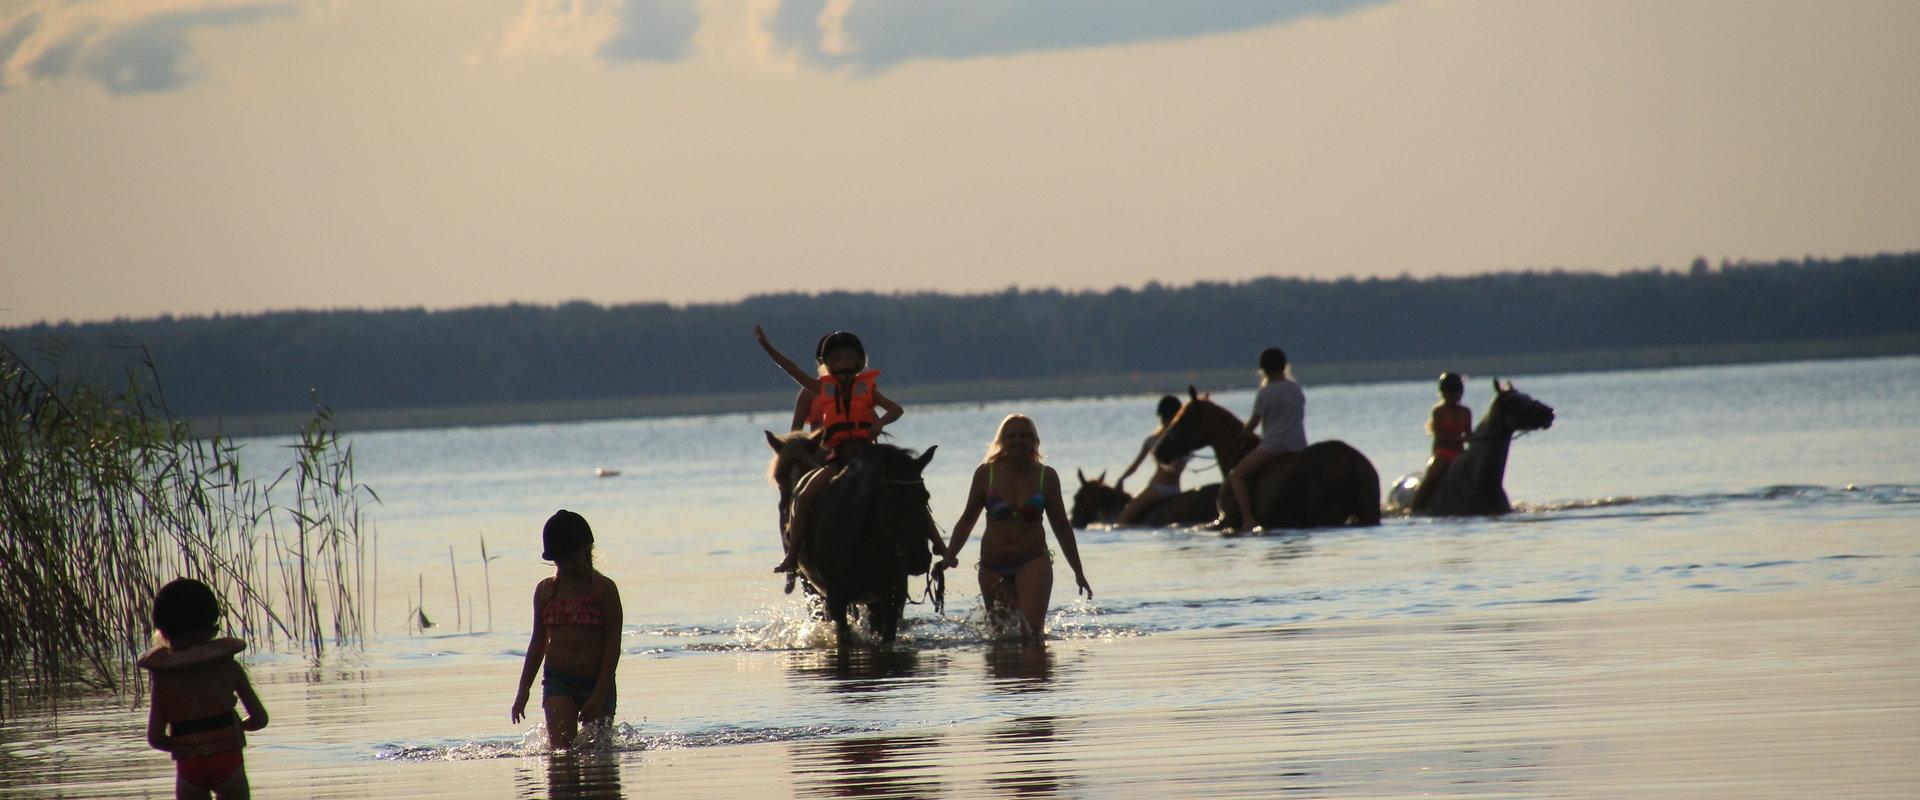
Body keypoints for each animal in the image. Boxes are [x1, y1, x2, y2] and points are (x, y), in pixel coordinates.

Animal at [1152, 387, 1382, 529]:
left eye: (1182, 419)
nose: (1159, 450)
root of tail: (1354, 460)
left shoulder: (1226, 522)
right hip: (1367, 511)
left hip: (1324, 514)